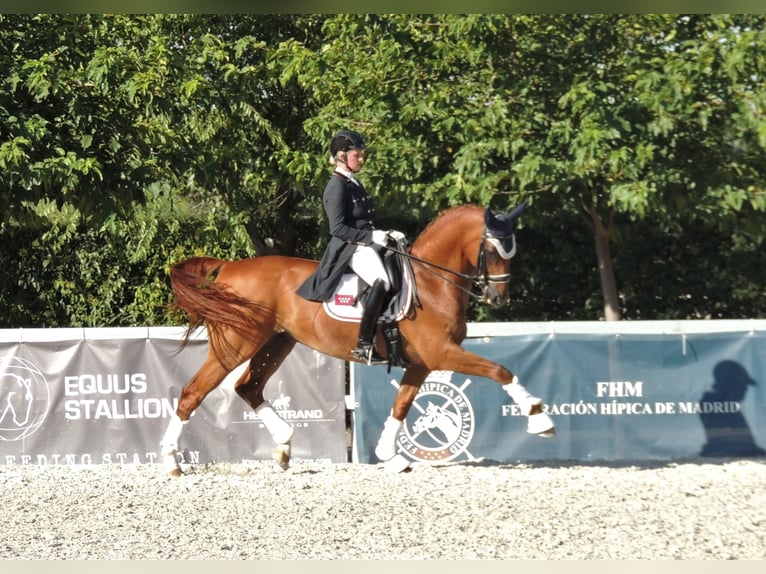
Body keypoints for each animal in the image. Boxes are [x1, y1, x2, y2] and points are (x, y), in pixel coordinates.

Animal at [162, 204, 556, 476]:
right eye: (491, 251)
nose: (499, 298)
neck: (432, 282)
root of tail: (231, 267)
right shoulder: (441, 354)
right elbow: (500, 370)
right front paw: (539, 418)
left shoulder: (422, 362)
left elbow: (401, 405)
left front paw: (388, 456)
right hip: (237, 343)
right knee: (194, 392)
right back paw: (171, 461)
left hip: (277, 343)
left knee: (249, 387)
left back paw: (284, 446)